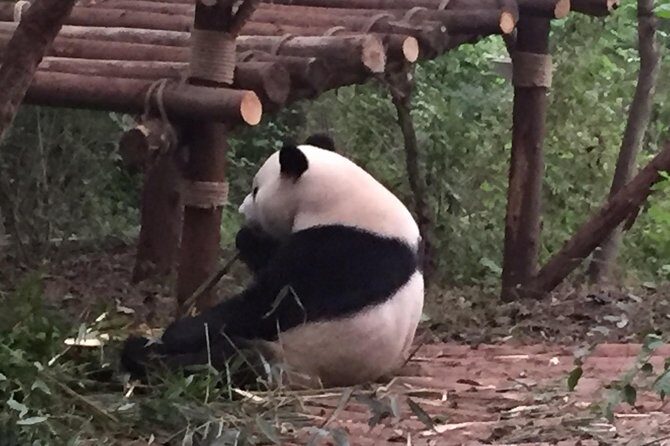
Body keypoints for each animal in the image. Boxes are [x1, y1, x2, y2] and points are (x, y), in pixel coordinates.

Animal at [121, 137, 424, 388]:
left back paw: (143, 355)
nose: (242, 209)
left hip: (292, 357)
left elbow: (270, 304)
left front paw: (176, 332)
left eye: (256, 190)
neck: (341, 200)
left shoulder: (343, 251)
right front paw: (248, 239)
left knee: (229, 360)